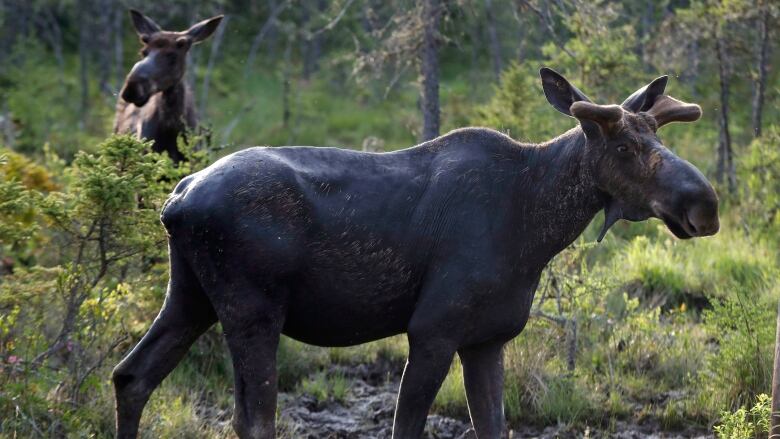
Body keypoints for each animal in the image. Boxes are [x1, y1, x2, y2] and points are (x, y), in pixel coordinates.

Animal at [114, 69, 720, 439]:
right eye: (626, 146)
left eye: (659, 138)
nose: (706, 204)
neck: (537, 227)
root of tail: (176, 200)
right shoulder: (432, 330)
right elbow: (406, 426)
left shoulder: (487, 339)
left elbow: (492, 426)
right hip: (252, 310)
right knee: (253, 420)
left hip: (190, 298)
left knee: (131, 376)